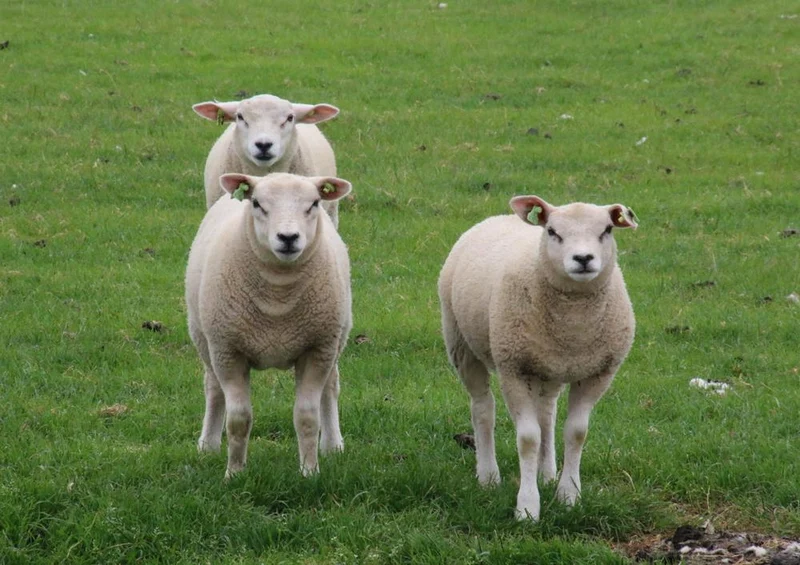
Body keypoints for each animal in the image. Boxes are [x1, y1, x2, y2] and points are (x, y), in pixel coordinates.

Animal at [185, 172, 353, 479]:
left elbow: (307, 416)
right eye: (257, 204)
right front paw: (234, 474)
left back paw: (333, 445)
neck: (278, 295)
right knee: (213, 389)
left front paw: (309, 472)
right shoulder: (228, 351)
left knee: (330, 388)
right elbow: (238, 419)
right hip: (205, 339)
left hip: (337, 337)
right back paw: (208, 446)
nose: (288, 238)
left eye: (314, 203)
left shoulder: (317, 348)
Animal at [437, 195, 638, 520]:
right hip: (461, 343)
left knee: (547, 414)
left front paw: (569, 495)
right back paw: (488, 476)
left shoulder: (598, 373)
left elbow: (576, 433)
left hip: (548, 367)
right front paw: (527, 507)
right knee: (483, 408)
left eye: (607, 229)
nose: (583, 259)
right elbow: (528, 438)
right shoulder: (513, 368)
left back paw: (546, 473)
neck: (574, 324)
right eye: (553, 231)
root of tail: (500, 217)